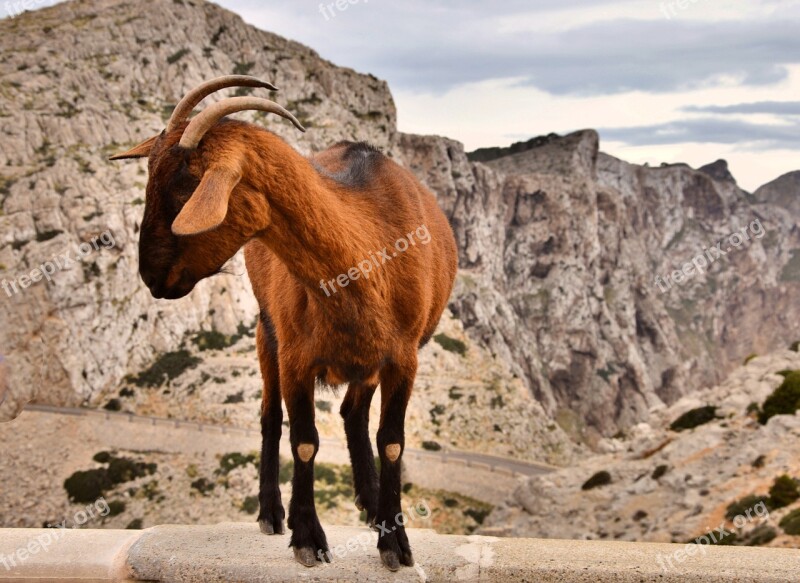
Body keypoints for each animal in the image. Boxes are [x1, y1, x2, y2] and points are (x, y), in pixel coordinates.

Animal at [114, 75, 462, 572]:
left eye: (186, 186)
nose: (150, 276)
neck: (365, 255)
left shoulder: (402, 358)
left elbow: (392, 441)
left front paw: (394, 541)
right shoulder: (297, 356)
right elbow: (303, 441)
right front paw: (307, 537)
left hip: (365, 361)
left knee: (352, 413)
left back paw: (372, 503)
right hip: (267, 333)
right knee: (270, 418)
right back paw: (273, 513)